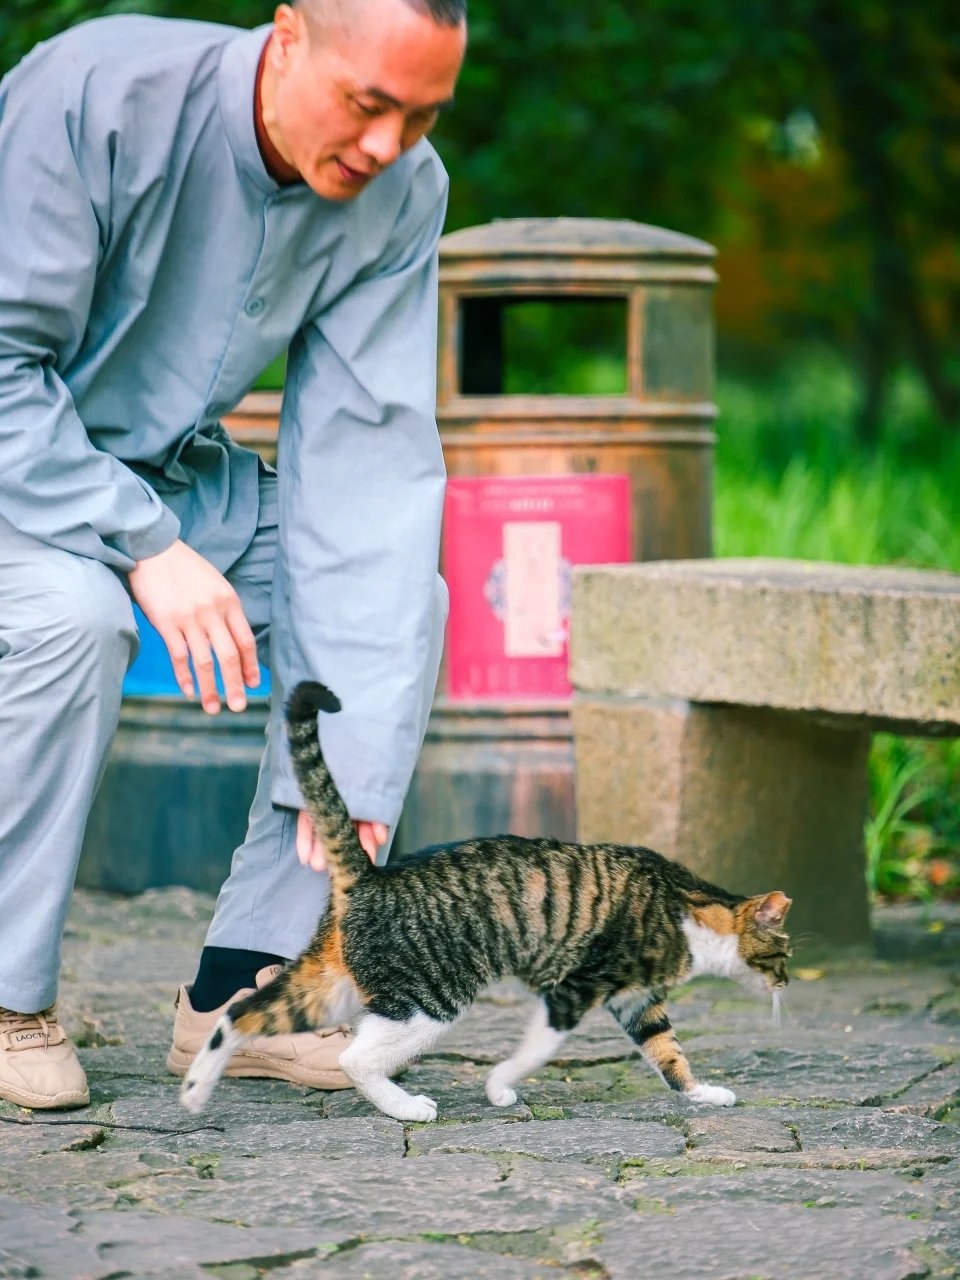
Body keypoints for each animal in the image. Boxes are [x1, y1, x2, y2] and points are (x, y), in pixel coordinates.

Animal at [184, 680, 793, 1121]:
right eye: (783, 954)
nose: (787, 984)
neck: (688, 908)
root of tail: (372, 875)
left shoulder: (637, 1001)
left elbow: (669, 1053)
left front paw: (702, 1094)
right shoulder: (573, 990)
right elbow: (535, 1051)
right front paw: (500, 1088)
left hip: (329, 986)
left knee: (239, 1013)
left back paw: (194, 1089)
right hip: (428, 999)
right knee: (352, 1056)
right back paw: (406, 1109)